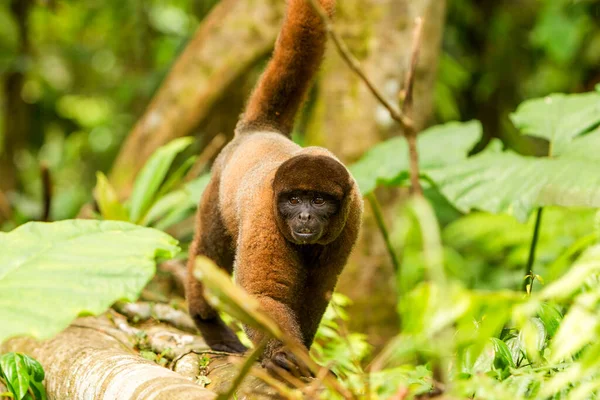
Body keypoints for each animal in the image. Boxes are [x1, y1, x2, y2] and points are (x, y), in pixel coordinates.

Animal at [185, 0, 364, 376]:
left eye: (319, 200)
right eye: (294, 199)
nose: (305, 217)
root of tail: (259, 130)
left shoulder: (351, 220)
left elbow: (318, 292)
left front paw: (304, 355)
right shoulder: (265, 215)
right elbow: (262, 297)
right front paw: (284, 354)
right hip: (216, 185)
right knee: (208, 251)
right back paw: (210, 325)